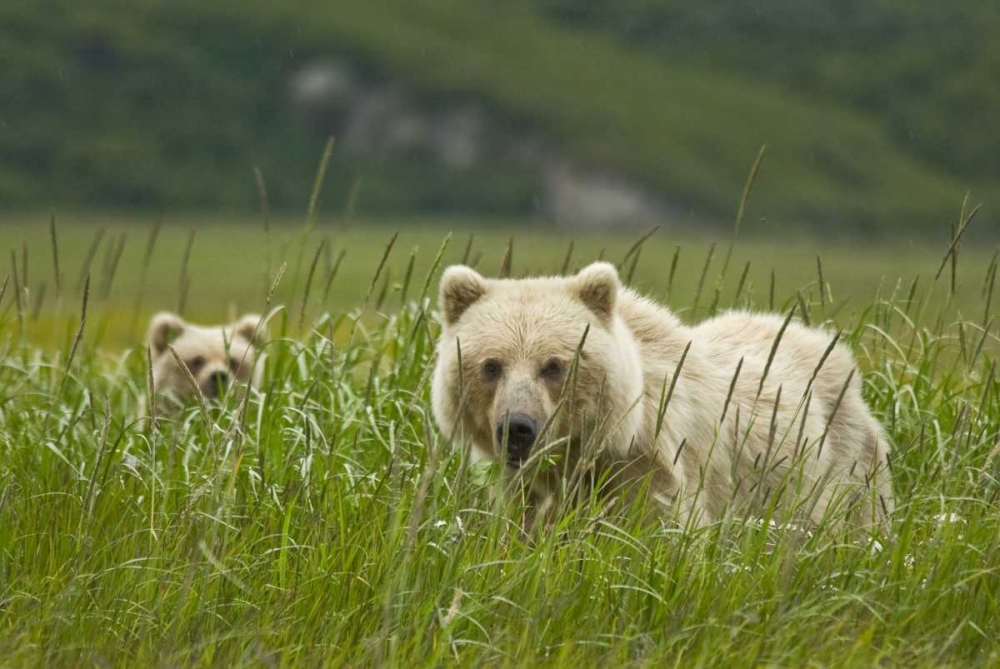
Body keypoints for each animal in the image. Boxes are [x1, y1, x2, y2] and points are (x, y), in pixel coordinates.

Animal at [431, 261, 893, 529]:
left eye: (554, 365)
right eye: (492, 365)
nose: (518, 427)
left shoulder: (653, 468)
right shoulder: (531, 488)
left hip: (841, 471)